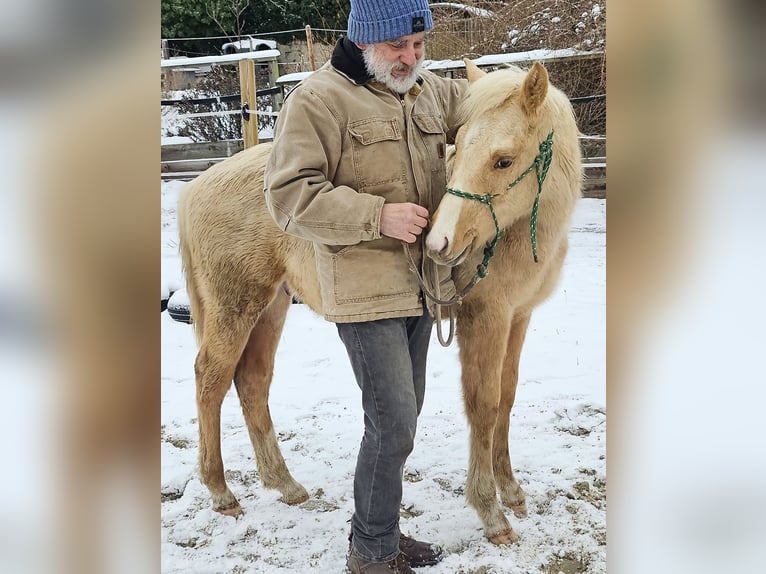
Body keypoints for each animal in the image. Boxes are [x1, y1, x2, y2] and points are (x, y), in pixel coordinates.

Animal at [176, 60, 584, 548]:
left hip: (271, 308)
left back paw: (284, 484)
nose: (439, 243)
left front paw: (512, 491)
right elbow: (483, 405)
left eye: (503, 160)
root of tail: (196, 187)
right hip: (234, 307)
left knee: (252, 381)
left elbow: (507, 398)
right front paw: (491, 511)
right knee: (210, 381)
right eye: (462, 144)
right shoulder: (485, 319)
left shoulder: (518, 317)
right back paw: (221, 492)